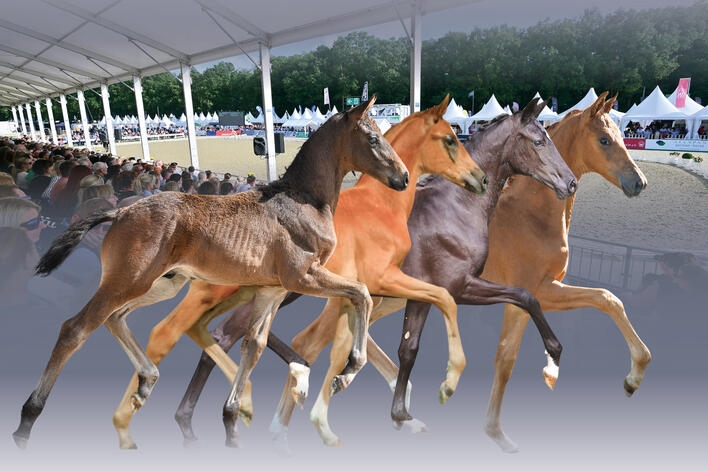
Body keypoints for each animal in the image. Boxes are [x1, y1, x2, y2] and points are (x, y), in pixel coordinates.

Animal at [12, 96, 411, 449]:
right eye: (372, 137)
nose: (404, 177)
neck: (302, 200)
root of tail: (121, 212)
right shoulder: (303, 277)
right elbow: (361, 293)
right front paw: (348, 371)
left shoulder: (272, 289)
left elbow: (254, 345)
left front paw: (232, 418)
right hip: (128, 280)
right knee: (76, 328)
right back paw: (27, 420)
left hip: (162, 284)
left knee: (115, 318)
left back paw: (147, 381)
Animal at [108, 95, 489, 449]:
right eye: (450, 139)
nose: (481, 179)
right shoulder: (346, 279)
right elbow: (398, 302)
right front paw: (355, 378)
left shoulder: (330, 288)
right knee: (168, 331)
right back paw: (135, 418)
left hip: (230, 292)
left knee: (212, 333)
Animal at [172, 97, 577, 449]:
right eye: (539, 140)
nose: (570, 182)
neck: (454, 207)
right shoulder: (458, 286)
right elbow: (524, 296)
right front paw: (553, 362)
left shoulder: (419, 293)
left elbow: (409, 348)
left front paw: (402, 414)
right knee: (223, 336)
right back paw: (205, 417)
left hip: (283, 291)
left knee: (241, 335)